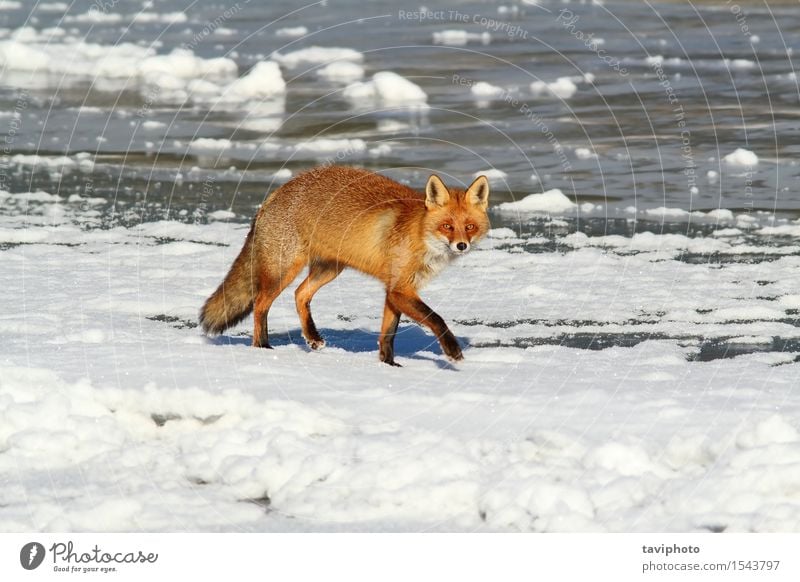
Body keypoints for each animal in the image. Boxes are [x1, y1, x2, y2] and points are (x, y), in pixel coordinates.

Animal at [198, 164, 488, 364]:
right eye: (447, 226)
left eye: (469, 227)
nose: (461, 246)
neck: (419, 233)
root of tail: (276, 192)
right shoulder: (399, 288)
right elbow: (435, 318)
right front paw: (452, 351)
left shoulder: (394, 290)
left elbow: (388, 334)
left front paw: (388, 365)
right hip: (284, 270)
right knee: (260, 304)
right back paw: (262, 347)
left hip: (329, 269)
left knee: (300, 294)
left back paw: (312, 338)